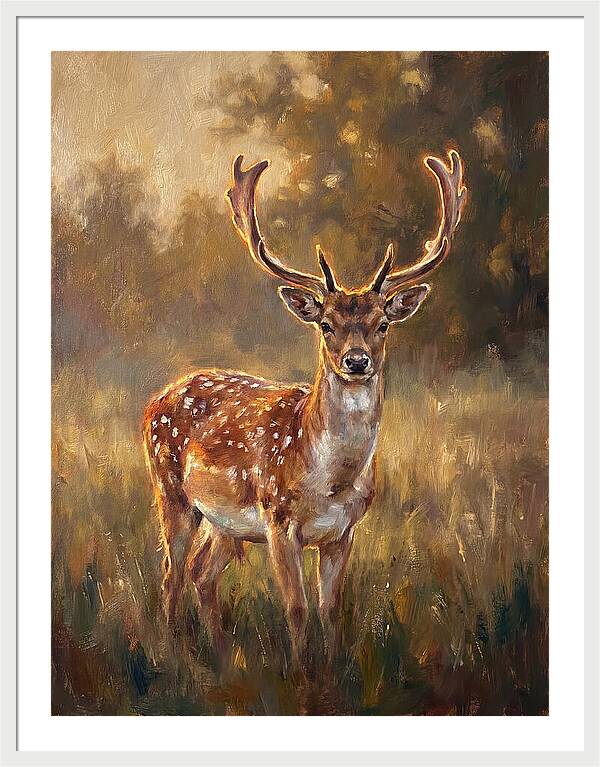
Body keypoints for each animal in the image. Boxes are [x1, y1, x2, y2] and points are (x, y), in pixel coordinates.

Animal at [143, 149, 466, 669]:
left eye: (382, 324)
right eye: (326, 324)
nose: (357, 361)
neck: (330, 483)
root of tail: (158, 398)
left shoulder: (343, 532)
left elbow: (330, 610)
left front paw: (331, 672)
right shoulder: (278, 521)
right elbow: (295, 609)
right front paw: (299, 675)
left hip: (225, 523)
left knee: (200, 571)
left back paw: (221, 654)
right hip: (171, 491)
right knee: (171, 573)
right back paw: (175, 654)